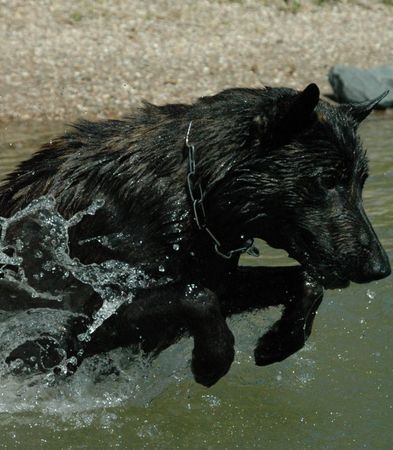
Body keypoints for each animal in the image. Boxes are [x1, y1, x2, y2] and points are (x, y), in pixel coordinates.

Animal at [0, 84, 388, 386]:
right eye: (328, 180)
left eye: (361, 182)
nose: (380, 268)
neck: (193, 191)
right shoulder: (73, 322)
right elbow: (196, 297)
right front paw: (211, 360)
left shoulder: (222, 280)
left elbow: (307, 282)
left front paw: (279, 342)